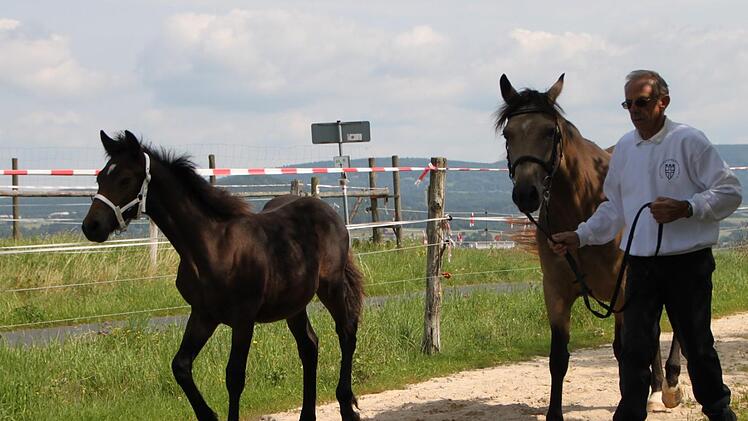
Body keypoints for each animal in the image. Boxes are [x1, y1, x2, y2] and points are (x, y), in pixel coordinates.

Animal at [82, 130, 364, 421]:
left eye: (125, 179)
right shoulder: (203, 315)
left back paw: (347, 407)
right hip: (294, 303)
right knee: (309, 346)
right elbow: (180, 366)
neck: (212, 246)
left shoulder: (244, 318)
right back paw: (307, 415)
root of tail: (331, 213)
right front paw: (208, 415)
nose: (91, 226)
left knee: (346, 333)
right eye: (100, 178)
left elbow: (234, 376)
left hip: (331, 287)